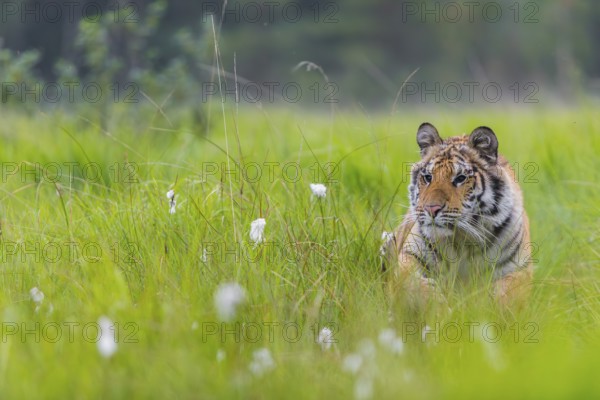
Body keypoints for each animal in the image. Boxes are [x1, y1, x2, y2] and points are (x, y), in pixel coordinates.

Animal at [382, 122, 532, 304]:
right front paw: (439, 305)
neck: (463, 242)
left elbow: (506, 294)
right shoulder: (410, 255)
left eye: (460, 178)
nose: (431, 209)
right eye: (427, 177)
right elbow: (413, 283)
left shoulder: (520, 268)